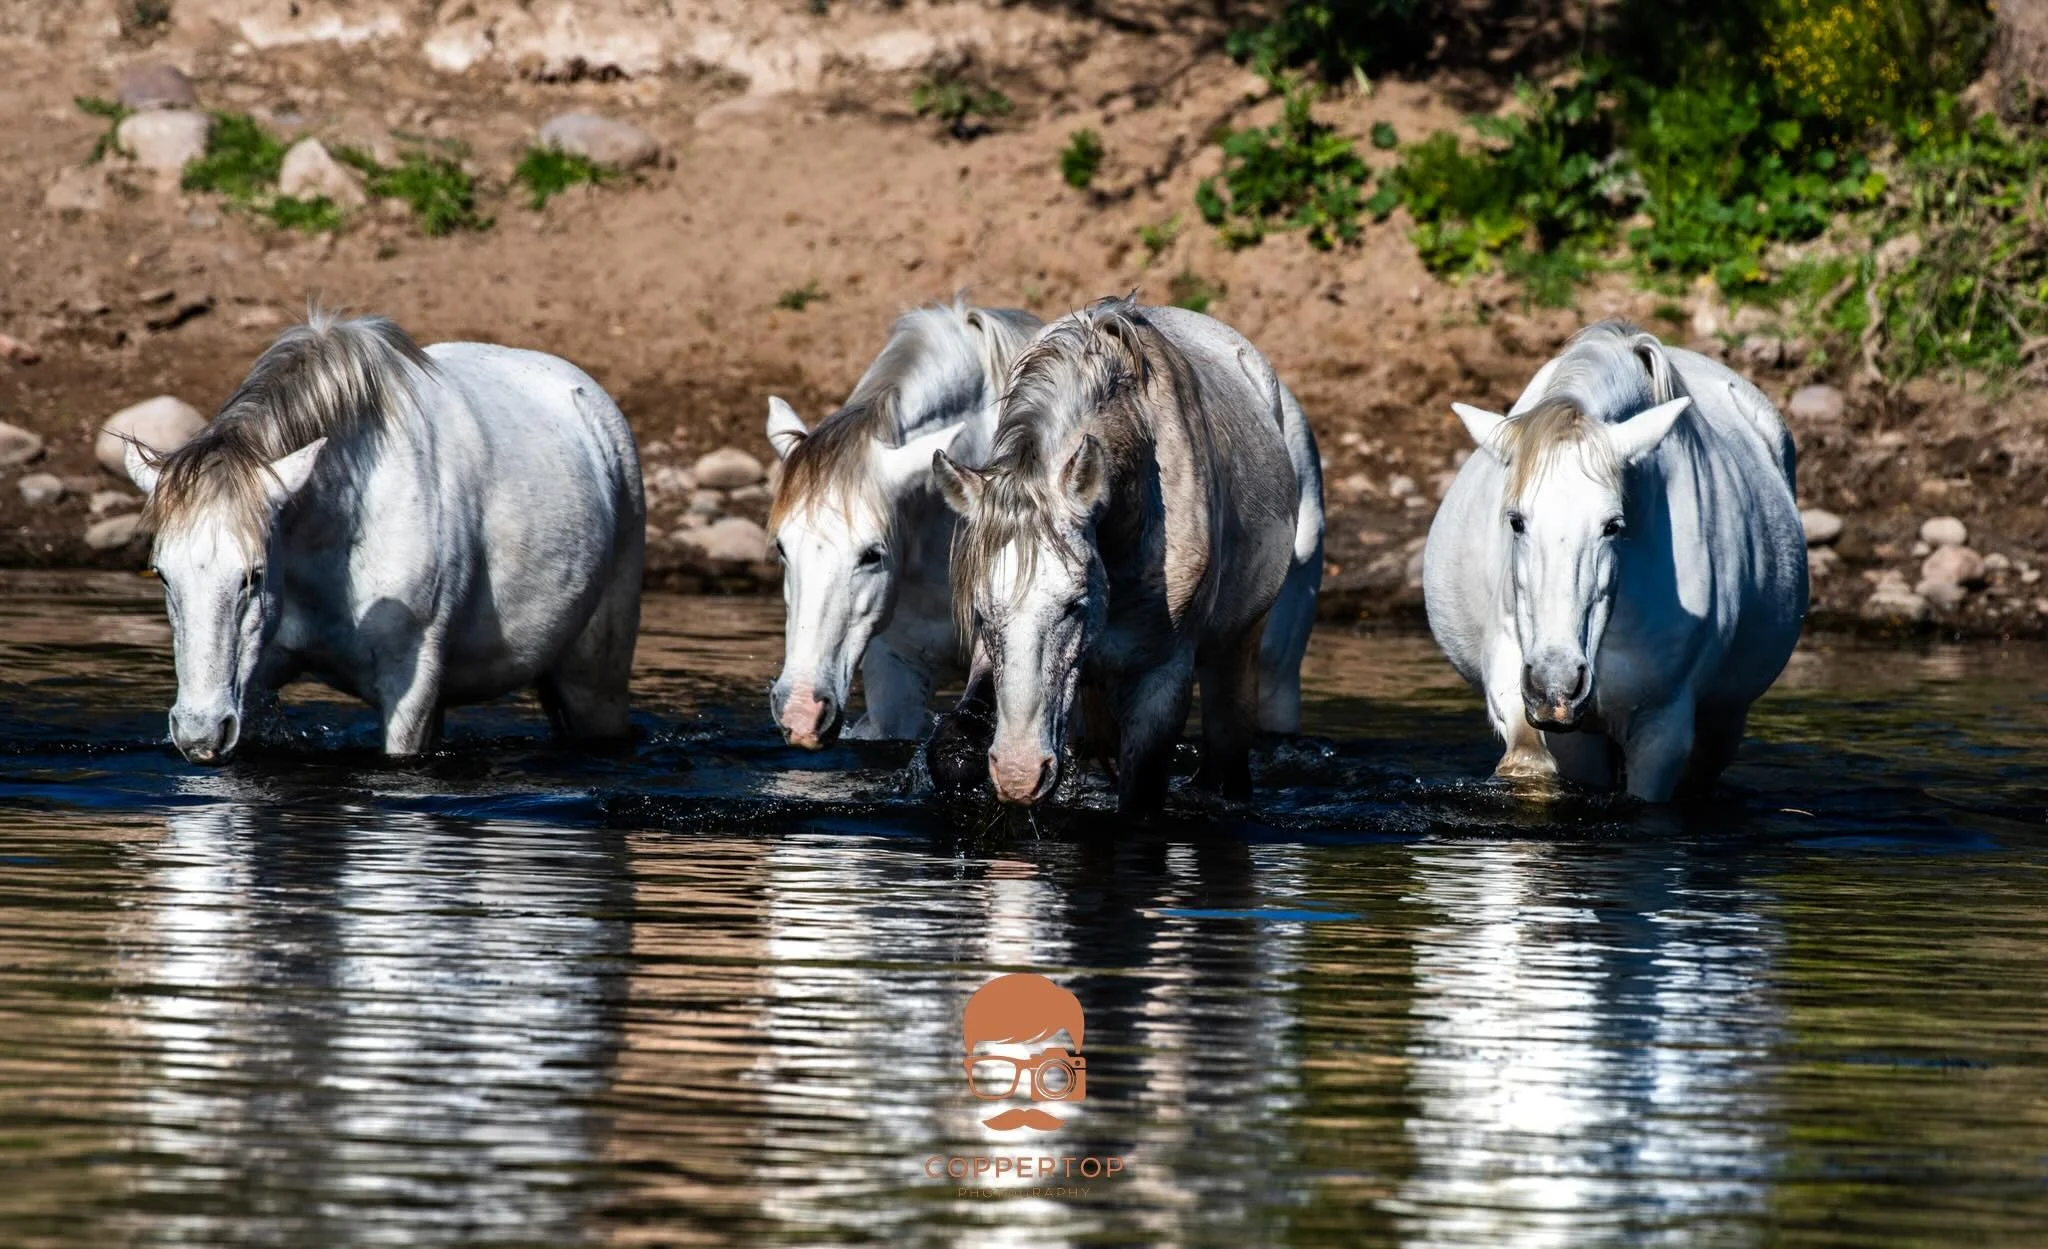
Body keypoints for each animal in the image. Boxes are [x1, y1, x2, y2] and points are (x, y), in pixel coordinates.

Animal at [123, 311, 644, 763]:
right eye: (162, 575)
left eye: (253, 576)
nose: (199, 732)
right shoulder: (254, 679)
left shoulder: (408, 686)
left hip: (595, 682)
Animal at [930, 297, 1323, 814]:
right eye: (979, 613)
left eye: (1074, 604)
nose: (1020, 773)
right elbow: (956, 741)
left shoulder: (1161, 682)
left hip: (1235, 651)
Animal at [1422, 320, 1806, 801]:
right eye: (1516, 521)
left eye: (1612, 525)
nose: (1555, 684)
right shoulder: (1543, 714)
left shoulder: (1661, 732)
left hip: (1724, 719)